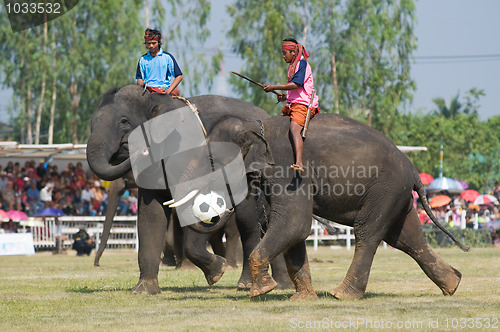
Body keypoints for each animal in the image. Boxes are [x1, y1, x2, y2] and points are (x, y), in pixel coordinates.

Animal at [84, 85, 292, 294]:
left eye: (124, 121)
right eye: (91, 123)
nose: (97, 265)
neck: (155, 99)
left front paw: (218, 271)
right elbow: (151, 214)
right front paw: (144, 290)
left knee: (248, 222)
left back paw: (252, 283)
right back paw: (275, 283)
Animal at [172, 113, 468, 300]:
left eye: (211, 159)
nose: (219, 209)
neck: (258, 125)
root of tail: (412, 168)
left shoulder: (289, 171)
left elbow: (294, 223)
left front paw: (261, 291)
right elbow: (293, 230)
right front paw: (302, 299)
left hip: (385, 189)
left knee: (368, 233)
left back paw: (342, 295)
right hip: (398, 195)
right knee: (407, 238)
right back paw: (453, 284)